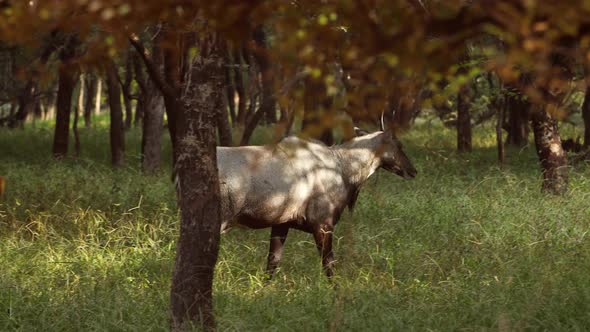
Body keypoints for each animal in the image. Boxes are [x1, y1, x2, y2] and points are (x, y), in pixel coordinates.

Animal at [216, 125, 416, 278]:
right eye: (399, 144)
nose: (413, 170)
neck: (344, 170)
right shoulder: (322, 224)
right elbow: (329, 266)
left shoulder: (282, 223)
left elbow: (272, 263)